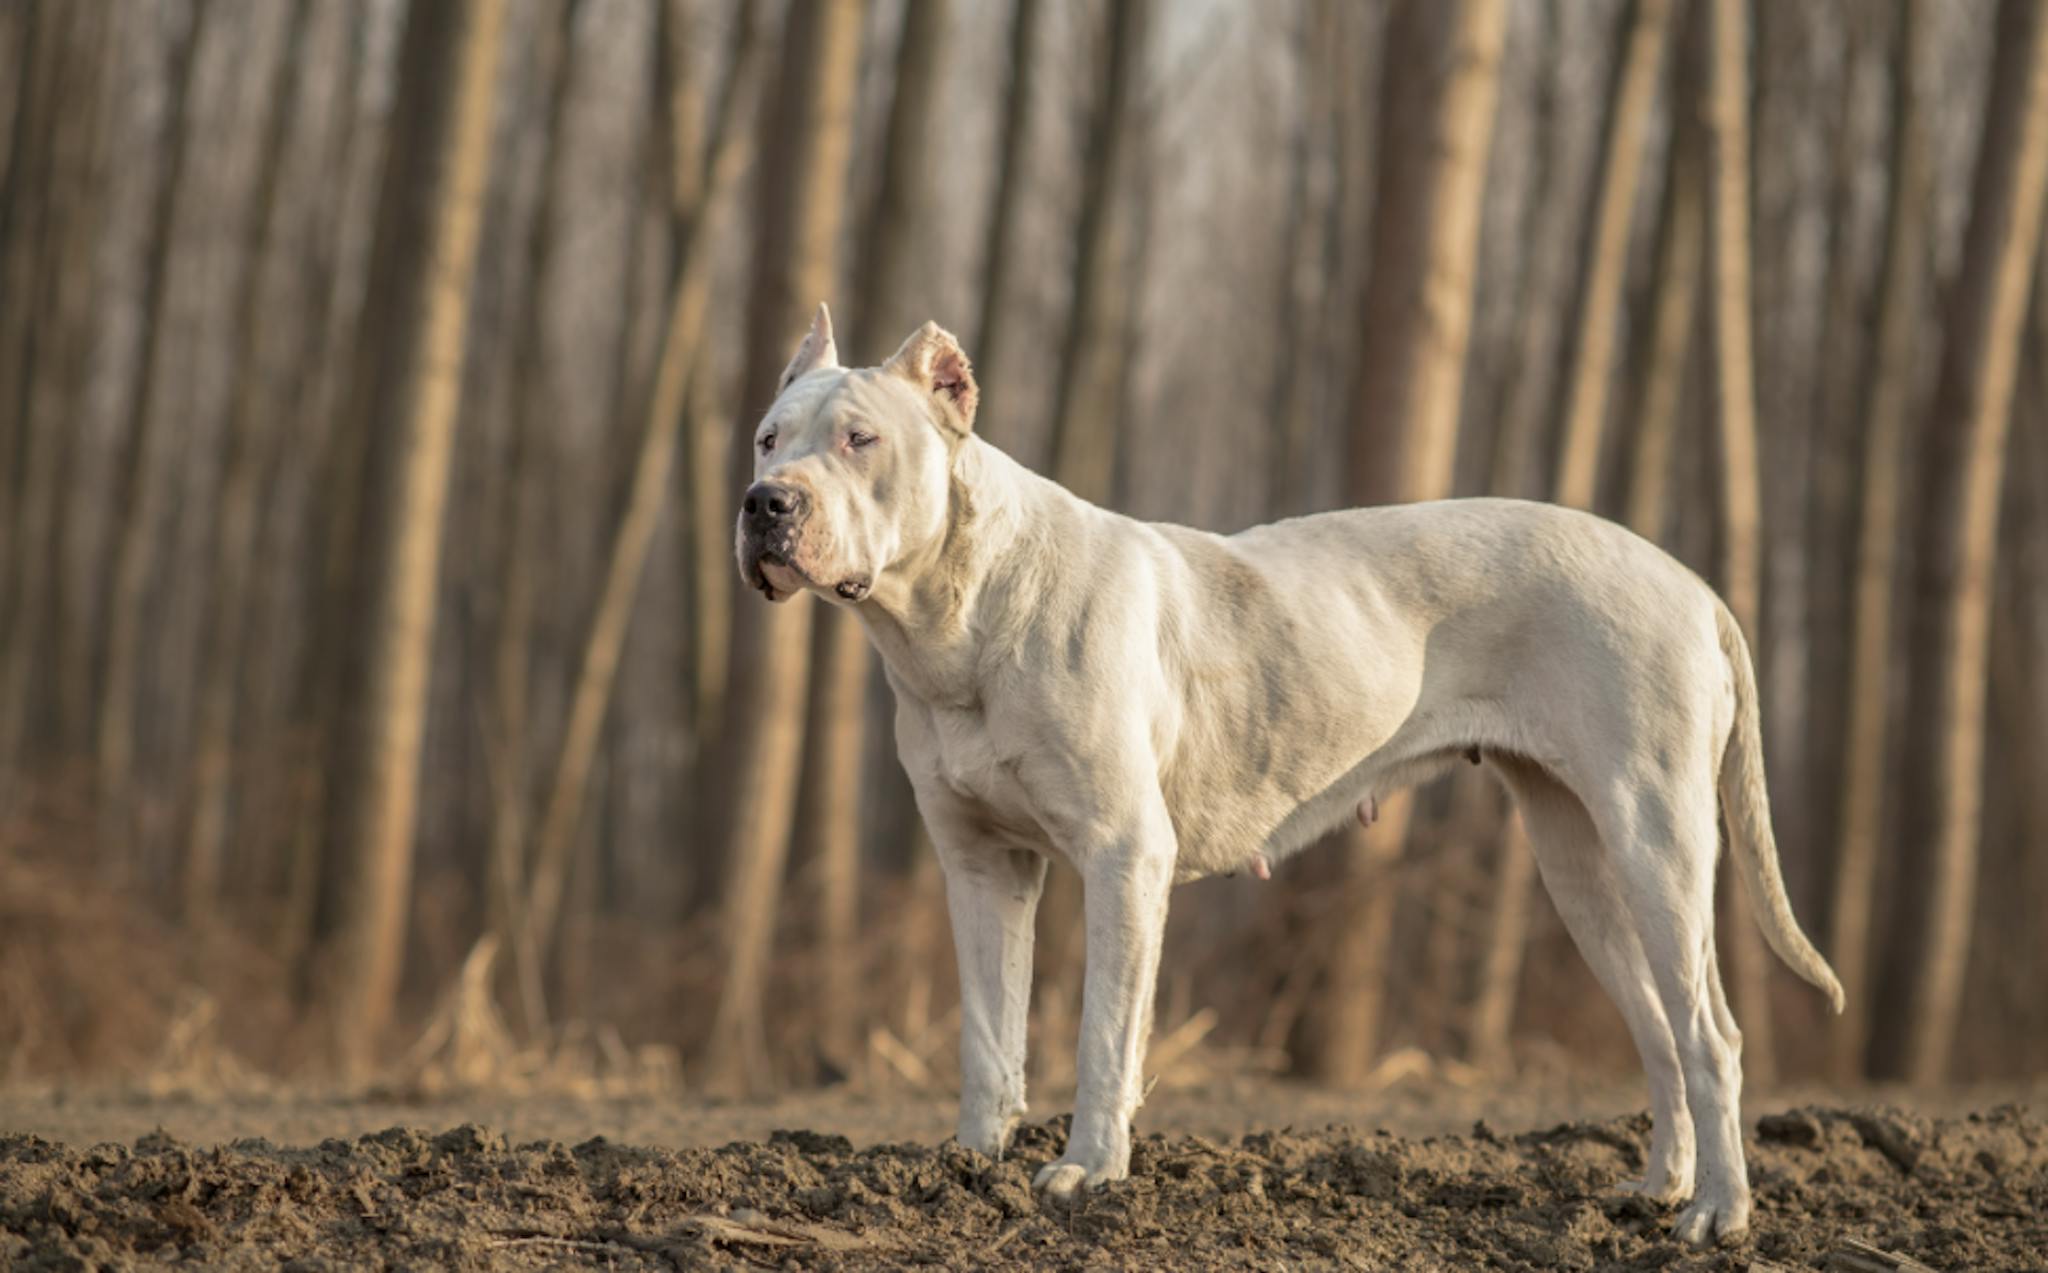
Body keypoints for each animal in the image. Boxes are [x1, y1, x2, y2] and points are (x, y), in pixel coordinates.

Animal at [733, 306, 1843, 1244]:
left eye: (860, 441)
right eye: (767, 438)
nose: (763, 504)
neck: (956, 615)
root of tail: (1691, 584)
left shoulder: (1123, 858)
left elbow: (1103, 1032)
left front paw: (1086, 1173)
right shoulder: (981, 865)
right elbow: (985, 1032)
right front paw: (967, 1164)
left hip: (1655, 839)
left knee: (1710, 1034)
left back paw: (1717, 1215)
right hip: (1580, 862)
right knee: (1659, 1029)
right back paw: (1658, 1188)